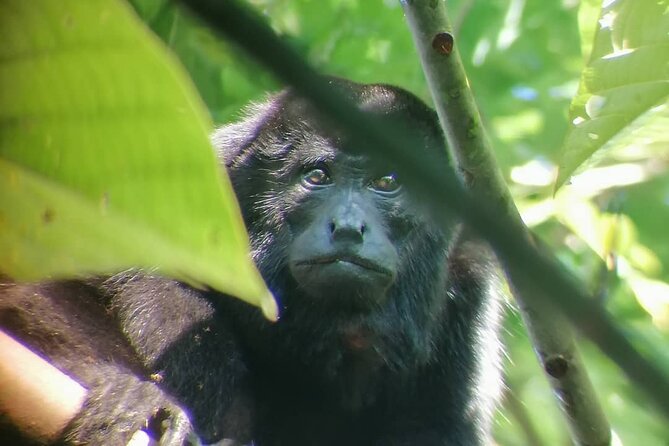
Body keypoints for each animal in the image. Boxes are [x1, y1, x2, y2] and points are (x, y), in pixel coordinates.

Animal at [0, 78, 500, 444]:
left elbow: (438, 425)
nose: (347, 227)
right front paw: (136, 398)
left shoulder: (470, 286)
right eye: (317, 176)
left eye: (388, 181)